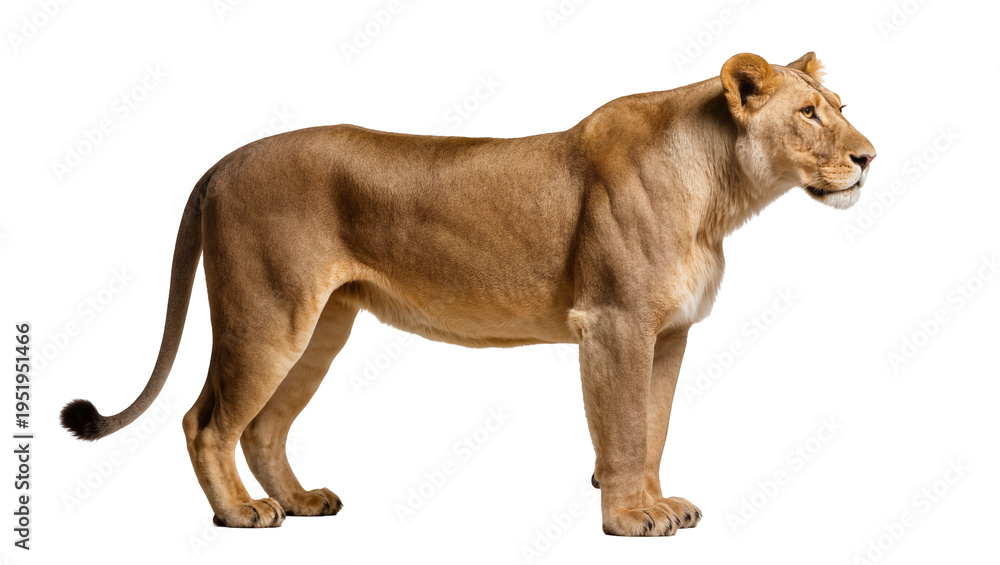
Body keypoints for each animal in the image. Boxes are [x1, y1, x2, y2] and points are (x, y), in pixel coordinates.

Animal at [61, 52, 875, 536]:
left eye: (838, 102)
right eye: (809, 113)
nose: (870, 156)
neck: (720, 195)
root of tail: (220, 162)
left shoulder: (668, 332)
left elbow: (654, 426)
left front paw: (658, 504)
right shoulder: (612, 322)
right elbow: (621, 428)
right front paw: (627, 519)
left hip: (320, 327)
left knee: (262, 428)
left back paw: (300, 502)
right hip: (265, 314)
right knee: (205, 421)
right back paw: (241, 513)